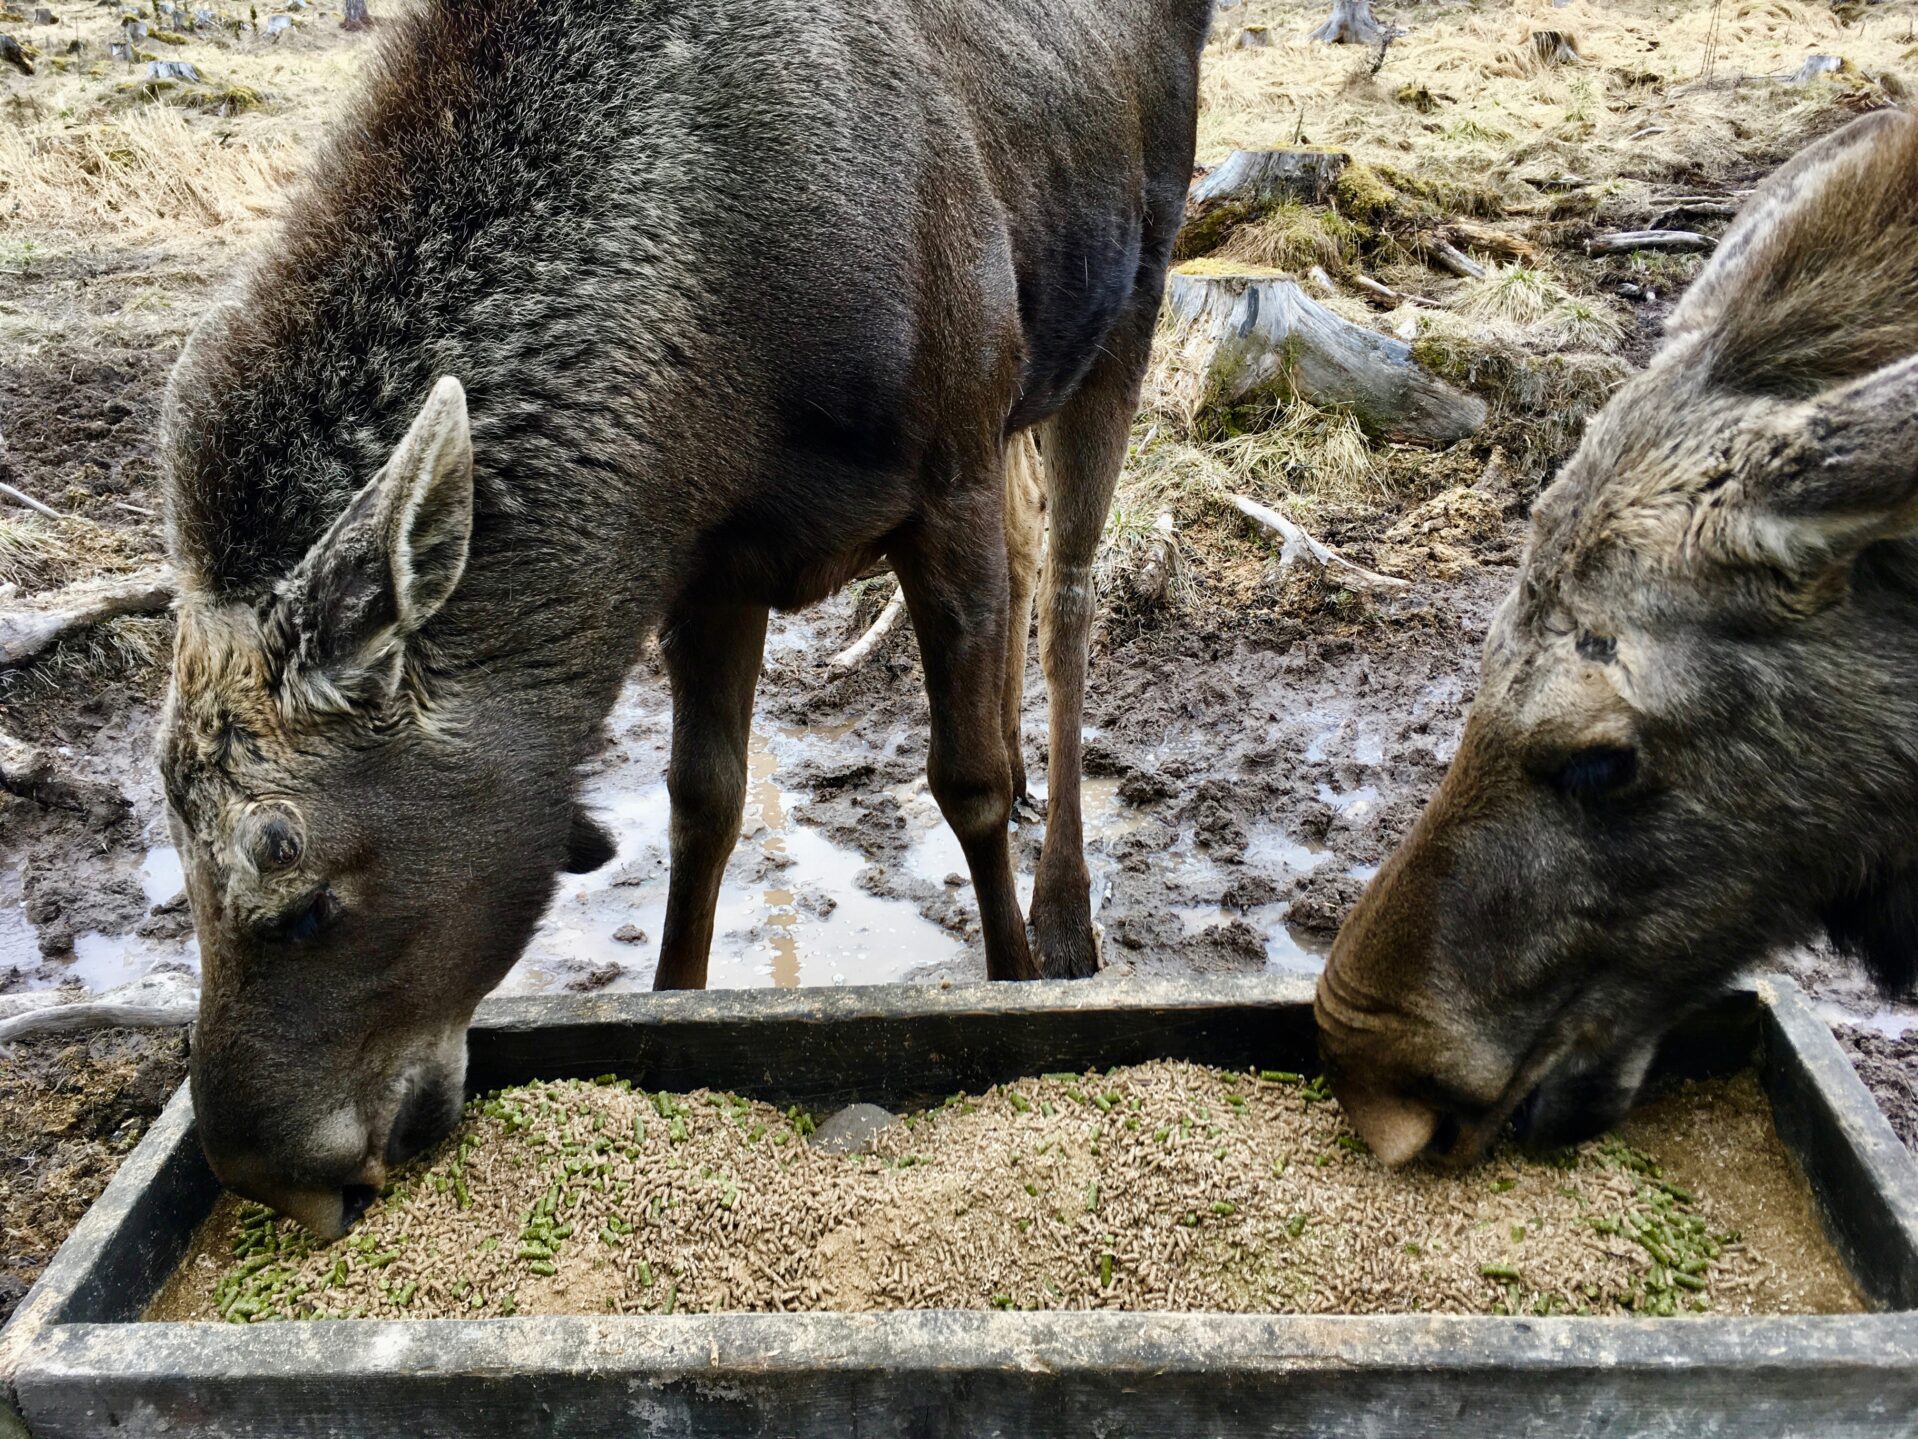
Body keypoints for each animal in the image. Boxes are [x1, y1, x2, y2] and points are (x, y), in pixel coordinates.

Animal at [161, 0, 1212, 1243]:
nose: (270, 1173)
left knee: (1069, 588)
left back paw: (1066, 912)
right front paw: (673, 1007)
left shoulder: (943, 470)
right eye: (176, 855)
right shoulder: (716, 561)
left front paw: (1014, 983)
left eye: (306, 891)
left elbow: (965, 781)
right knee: (1025, 545)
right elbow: (701, 802)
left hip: (1126, 304)